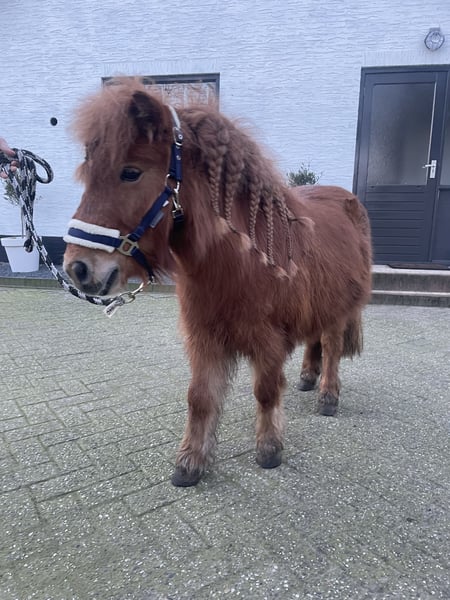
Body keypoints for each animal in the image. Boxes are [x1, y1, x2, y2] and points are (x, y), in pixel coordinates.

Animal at [63, 79, 372, 487]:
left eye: (130, 172)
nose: (77, 268)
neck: (239, 261)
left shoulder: (266, 339)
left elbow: (265, 390)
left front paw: (269, 448)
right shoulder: (204, 336)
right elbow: (199, 396)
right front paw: (191, 461)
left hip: (339, 311)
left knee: (332, 346)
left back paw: (328, 396)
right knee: (314, 339)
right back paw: (308, 376)